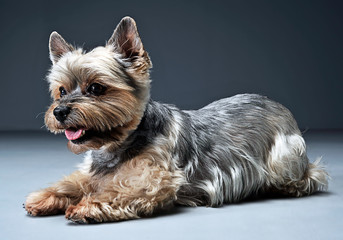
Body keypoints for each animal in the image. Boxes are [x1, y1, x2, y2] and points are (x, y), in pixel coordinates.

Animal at [24, 16, 330, 223]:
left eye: (96, 88)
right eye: (61, 91)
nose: (59, 112)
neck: (120, 143)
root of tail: (276, 103)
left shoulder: (155, 179)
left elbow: (120, 188)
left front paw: (86, 205)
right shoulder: (93, 171)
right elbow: (74, 182)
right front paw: (47, 196)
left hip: (285, 159)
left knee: (306, 176)